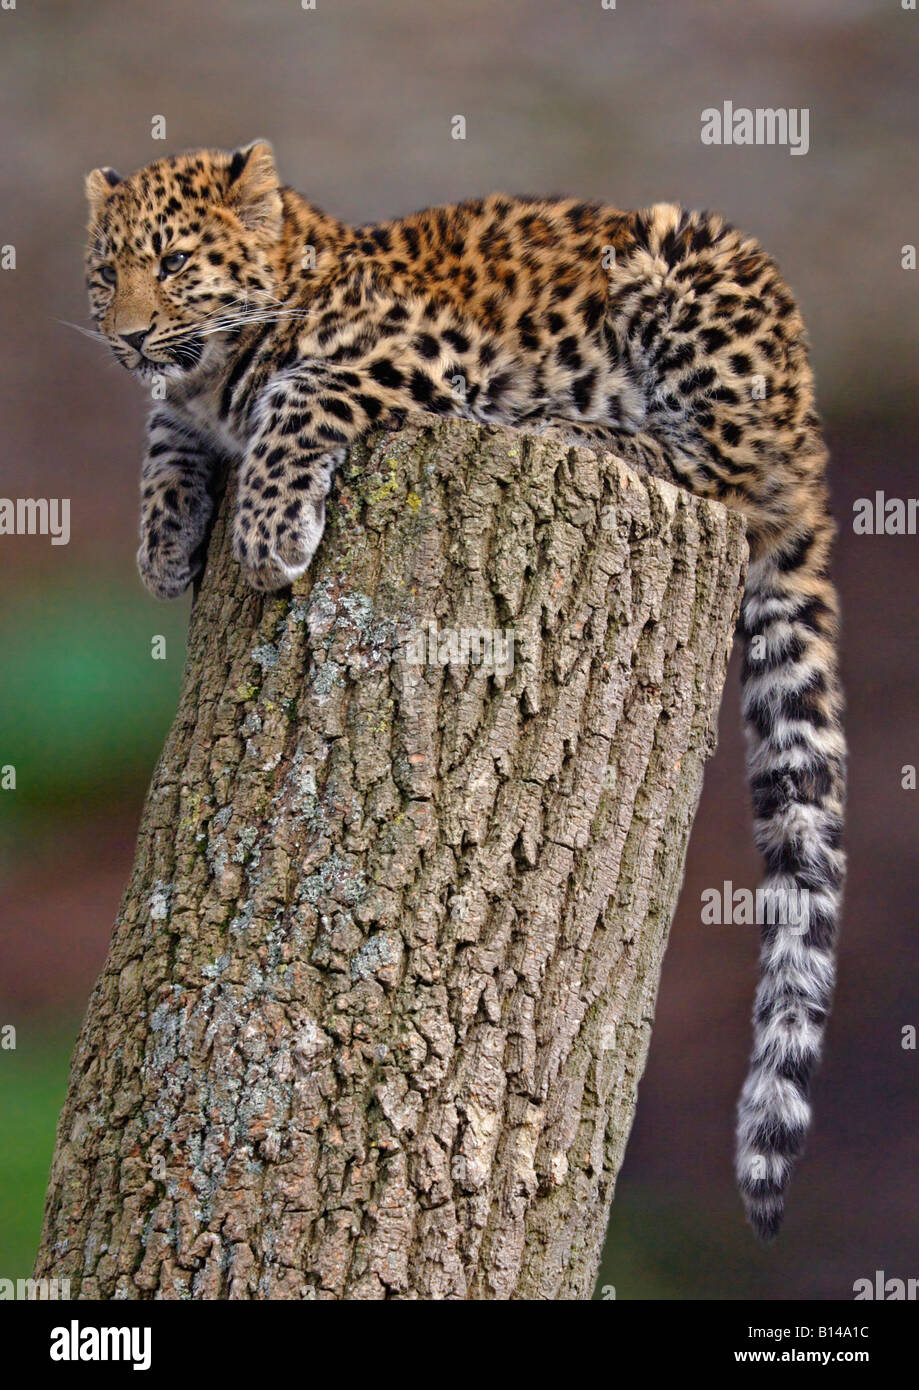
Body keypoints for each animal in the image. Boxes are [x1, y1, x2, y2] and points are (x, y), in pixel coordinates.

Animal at [84, 139, 846, 1241]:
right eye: (106, 276)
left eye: (177, 263)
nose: (130, 333)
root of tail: (806, 418)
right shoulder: (182, 405)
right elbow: (162, 436)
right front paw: (164, 539)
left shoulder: (414, 348)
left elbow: (294, 399)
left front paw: (266, 535)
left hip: (681, 272)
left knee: (723, 472)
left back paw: (574, 425)